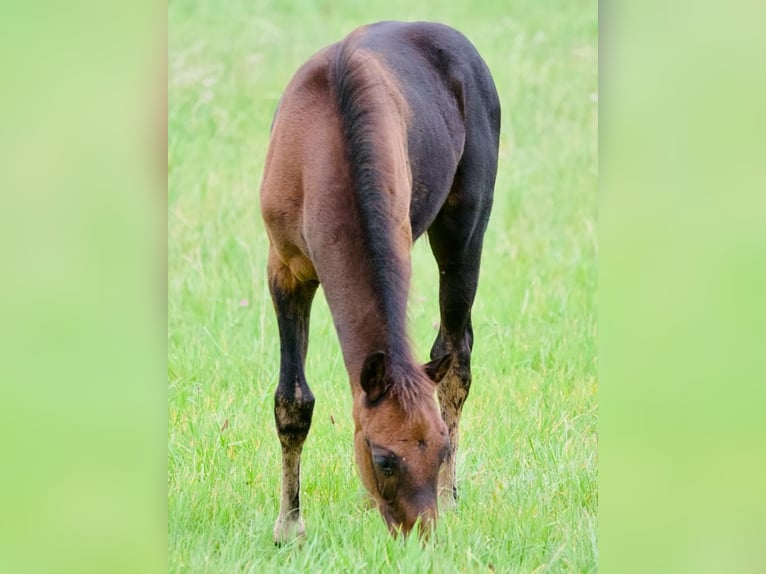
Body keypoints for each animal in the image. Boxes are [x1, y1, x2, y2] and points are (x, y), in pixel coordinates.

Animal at [262, 21, 504, 544]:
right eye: (384, 460)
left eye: (441, 451)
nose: (421, 536)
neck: (325, 142)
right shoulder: (285, 270)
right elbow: (293, 402)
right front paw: (289, 525)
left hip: (464, 232)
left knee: (456, 354)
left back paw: (451, 497)